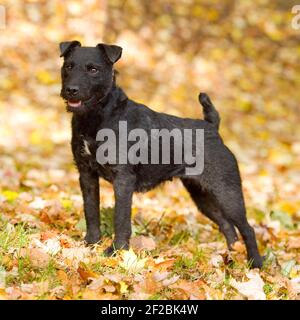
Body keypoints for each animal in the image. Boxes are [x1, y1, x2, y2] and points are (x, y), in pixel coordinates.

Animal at [59, 41, 262, 268]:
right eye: (68, 66)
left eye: (93, 69)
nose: (70, 90)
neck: (98, 117)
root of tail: (212, 127)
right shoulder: (86, 174)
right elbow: (91, 210)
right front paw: (90, 243)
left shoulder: (123, 181)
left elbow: (120, 220)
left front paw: (116, 251)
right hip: (202, 196)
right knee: (228, 226)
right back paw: (231, 258)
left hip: (227, 194)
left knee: (248, 229)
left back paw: (255, 264)